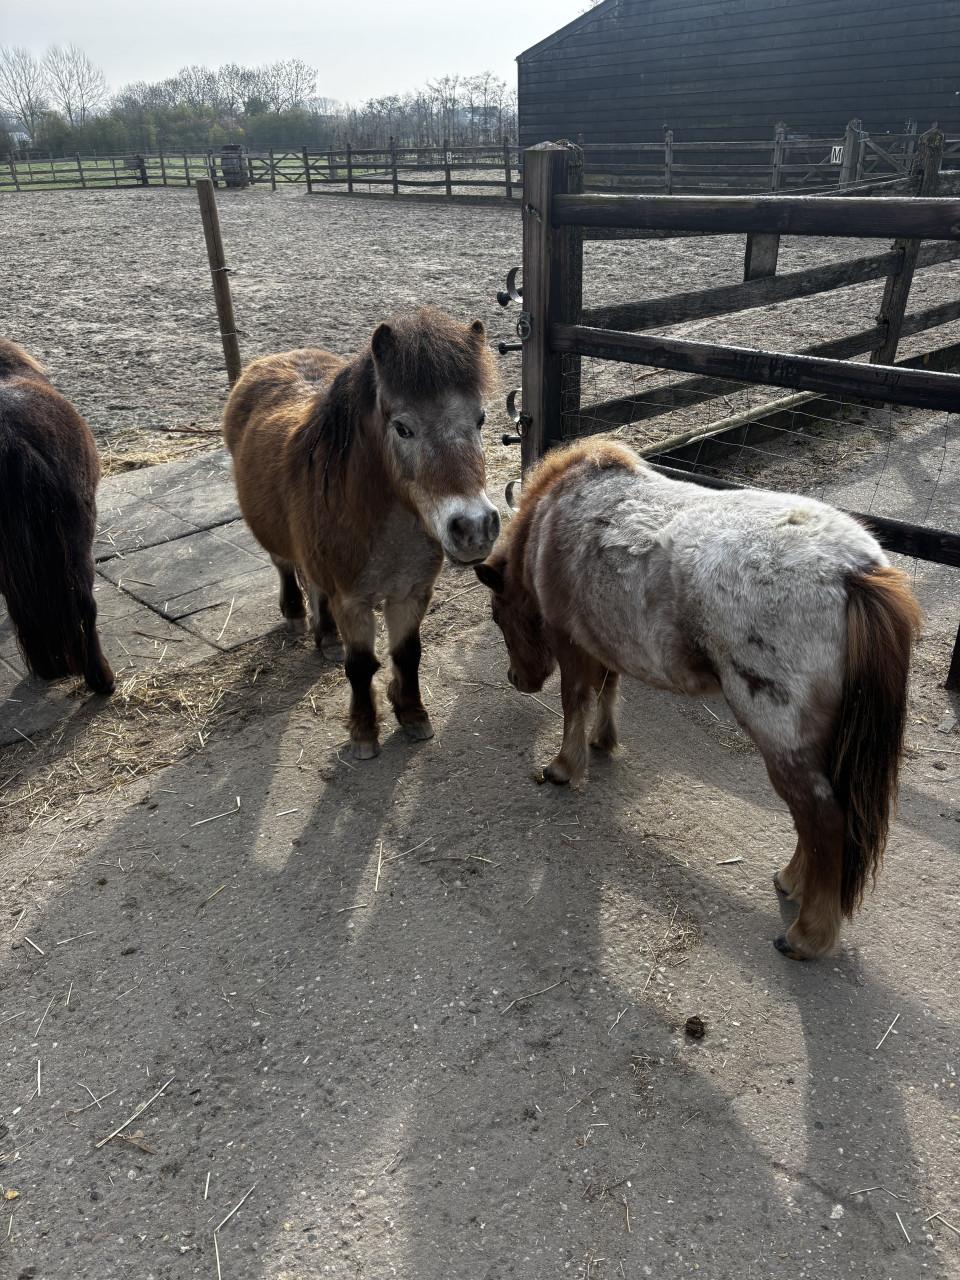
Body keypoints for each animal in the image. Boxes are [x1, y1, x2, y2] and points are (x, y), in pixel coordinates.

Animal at [223, 307, 500, 760]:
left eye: (480, 419)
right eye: (402, 428)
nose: (474, 527)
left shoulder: (410, 594)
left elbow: (407, 654)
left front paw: (411, 713)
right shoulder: (351, 601)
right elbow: (359, 666)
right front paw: (364, 731)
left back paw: (327, 639)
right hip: (274, 537)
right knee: (285, 565)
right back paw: (297, 615)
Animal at [475, 439, 922, 961]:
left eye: (499, 612)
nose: (517, 679)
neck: (554, 518)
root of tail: (856, 574)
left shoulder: (571, 643)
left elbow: (576, 701)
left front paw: (565, 766)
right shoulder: (604, 639)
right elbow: (608, 688)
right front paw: (604, 740)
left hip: (782, 738)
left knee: (823, 819)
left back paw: (808, 934)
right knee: (820, 820)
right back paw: (793, 881)